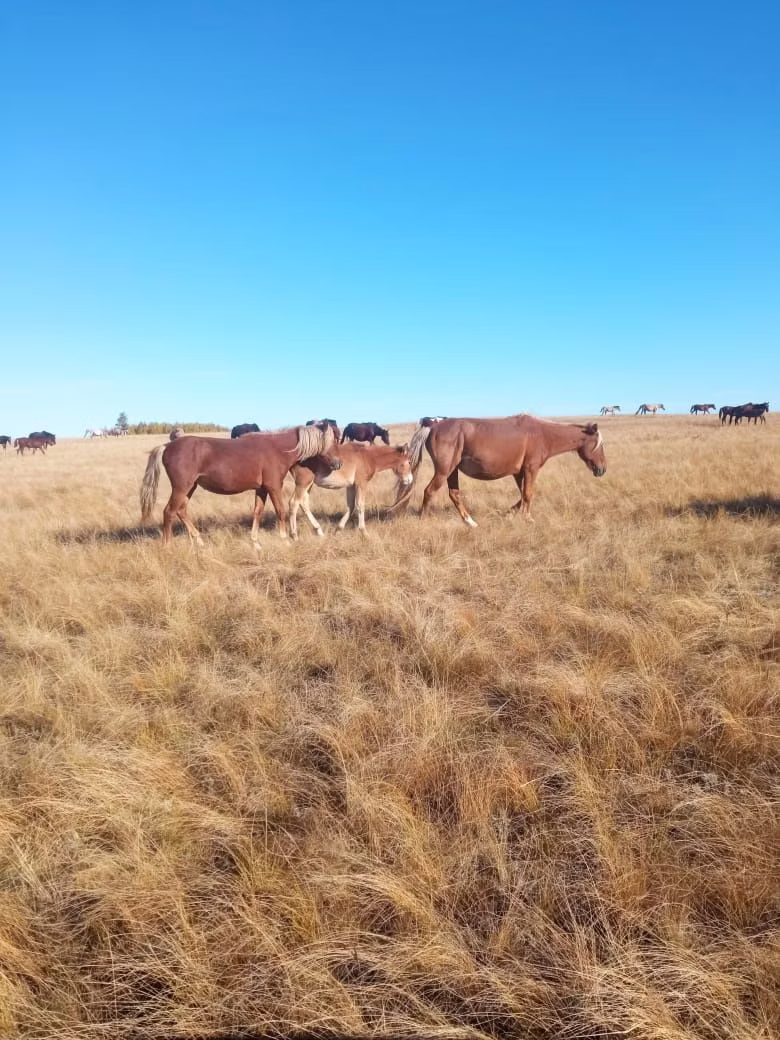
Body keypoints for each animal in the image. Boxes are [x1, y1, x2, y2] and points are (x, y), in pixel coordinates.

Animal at [140, 422, 341, 547]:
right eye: (331, 442)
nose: (338, 463)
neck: (278, 449)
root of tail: (168, 446)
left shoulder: (261, 488)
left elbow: (258, 512)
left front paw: (255, 542)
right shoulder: (274, 486)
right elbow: (281, 511)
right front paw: (285, 540)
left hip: (190, 487)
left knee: (181, 511)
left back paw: (200, 542)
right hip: (182, 487)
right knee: (169, 512)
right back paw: (167, 546)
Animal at [404, 414, 606, 526]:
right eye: (599, 445)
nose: (602, 469)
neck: (542, 434)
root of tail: (434, 425)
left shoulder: (518, 472)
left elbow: (522, 495)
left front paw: (509, 513)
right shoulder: (531, 469)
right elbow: (528, 494)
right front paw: (528, 519)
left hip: (452, 471)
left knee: (454, 494)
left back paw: (470, 523)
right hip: (444, 470)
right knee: (429, 491)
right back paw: (424, 521)